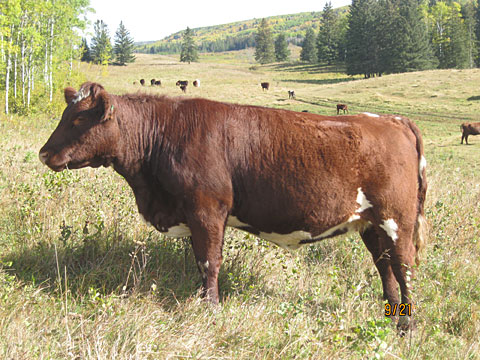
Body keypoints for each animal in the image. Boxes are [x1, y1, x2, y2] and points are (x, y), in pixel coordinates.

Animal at [38, 81, 428, 332]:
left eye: (78, 119)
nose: (44, 152)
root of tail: (392, 119)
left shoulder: (207, 210)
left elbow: (209, 261)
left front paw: (209, 308)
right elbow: (200, 260)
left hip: (397, 218)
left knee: (403, 265)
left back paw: (407, 324)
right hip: (371, 222)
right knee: (385, 266)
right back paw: (391, 313)